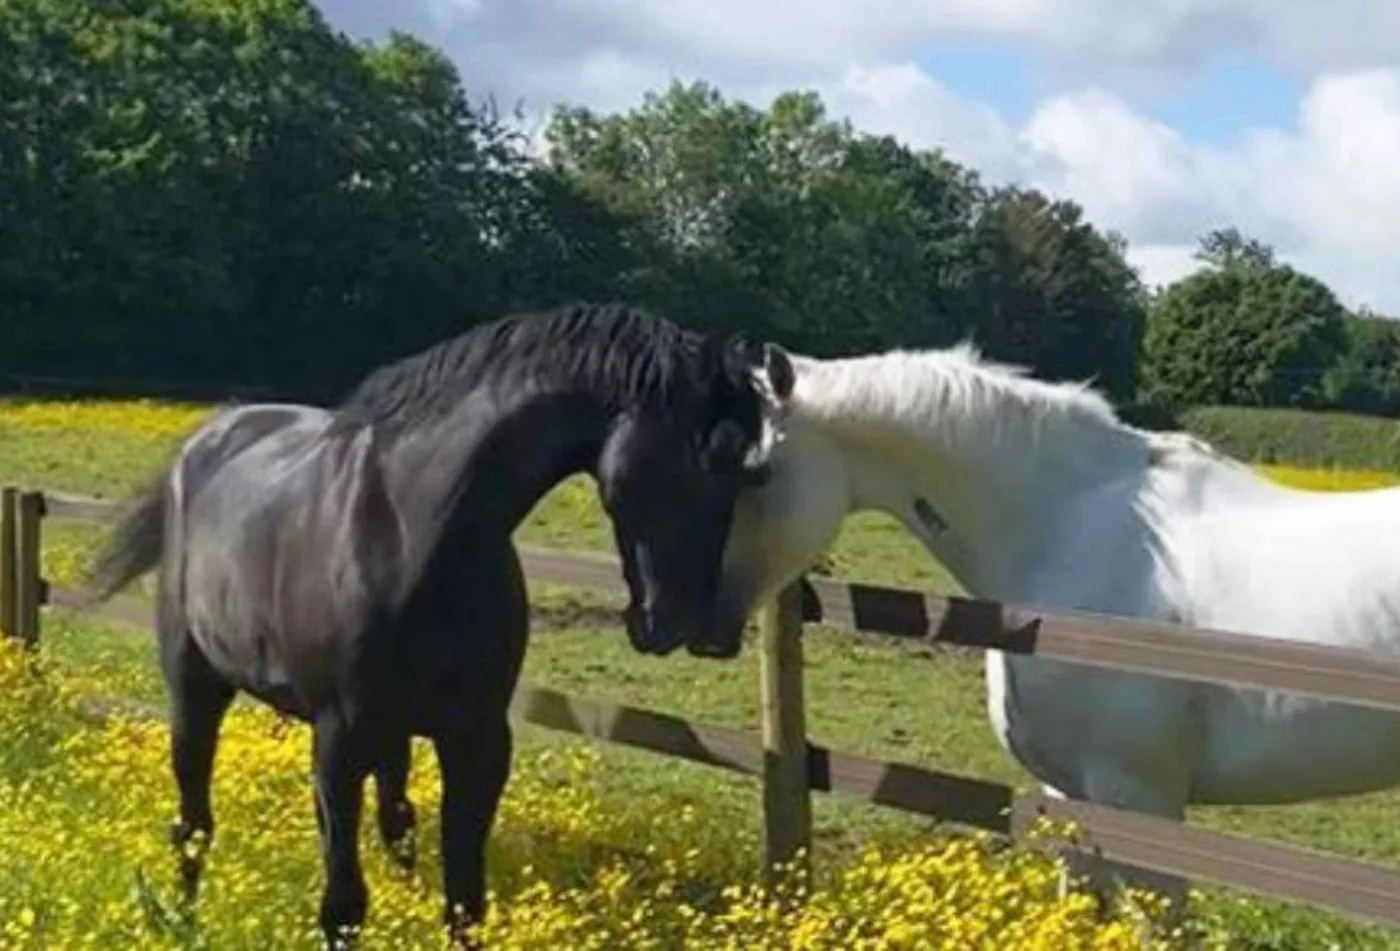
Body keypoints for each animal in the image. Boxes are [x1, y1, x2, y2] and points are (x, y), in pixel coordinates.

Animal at [79, 302, 797, 948]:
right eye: (697, 458)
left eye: (748, 471)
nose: (687, 625)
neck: (413, 531)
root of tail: (206, 442)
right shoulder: (339, 740)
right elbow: (343, 905)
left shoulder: (477, 740)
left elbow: (462, 901)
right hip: (197, 690)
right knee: (193, 824)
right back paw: (181, 920)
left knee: (391, 820)